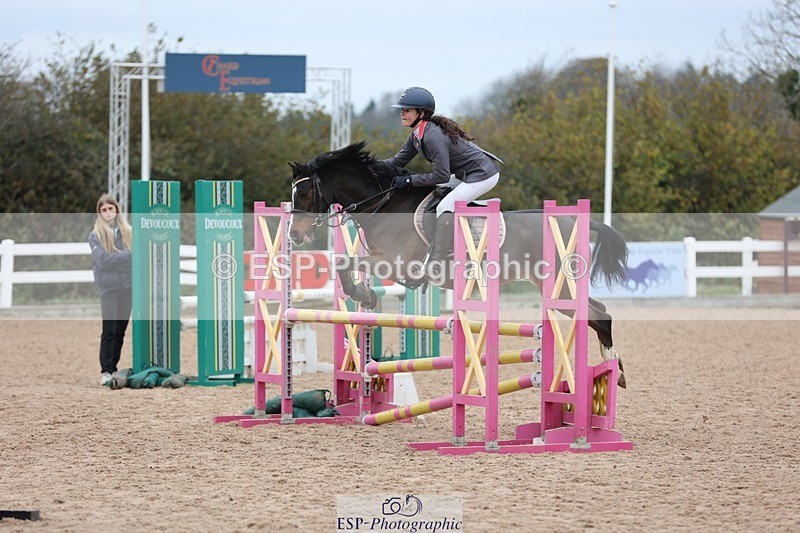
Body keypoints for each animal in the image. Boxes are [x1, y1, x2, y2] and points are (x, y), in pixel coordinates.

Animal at [288, 141, 629, 387]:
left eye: (303, 193)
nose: (294, 235)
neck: (383, 205)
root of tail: (571, 221)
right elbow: (344, 264)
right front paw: (367, 297)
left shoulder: (397, 263)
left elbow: (344, 262)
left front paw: (364, 295)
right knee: (599, 312)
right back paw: (613, 369)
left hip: (557, 286)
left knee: (600, 316)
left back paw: (614, 372)